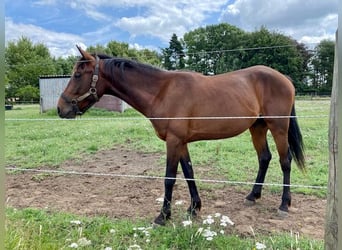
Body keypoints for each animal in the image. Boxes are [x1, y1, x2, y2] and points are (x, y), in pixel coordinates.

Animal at [57, 46, 306, 226]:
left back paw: (284, 205)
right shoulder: (182, 142)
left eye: (77, 74)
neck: (162, 91)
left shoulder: (174, 141)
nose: (61, 109)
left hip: (278, 127)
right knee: (264, 158)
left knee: (285, 161)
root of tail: (285, 79)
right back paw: (253, 196)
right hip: (258, 127)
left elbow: (170, 178)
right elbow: (189, 173)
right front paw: (194, 208)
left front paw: (163, 216)